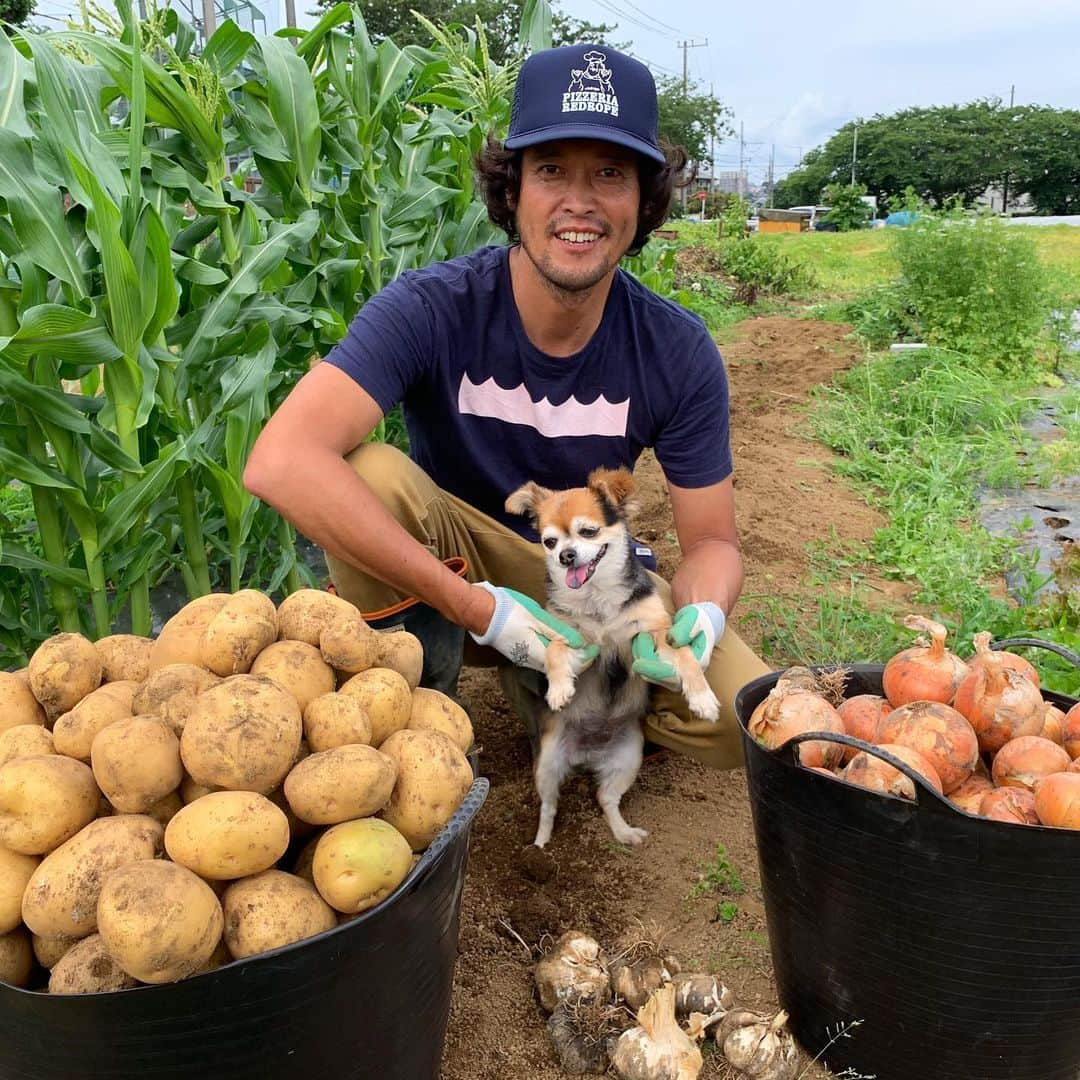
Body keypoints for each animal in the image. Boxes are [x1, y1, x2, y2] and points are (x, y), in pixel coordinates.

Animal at [503, 468, 717, 846]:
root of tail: (586, 755)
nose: (566, 556)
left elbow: (685, 656)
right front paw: (559, 688)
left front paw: (702, 698)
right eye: (549, 542)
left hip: (628, 758)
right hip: (547, 763)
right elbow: (555, 649)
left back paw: (624, 832)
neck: (597, 598)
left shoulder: (652, 633)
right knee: (549, 806)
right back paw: (540, 845)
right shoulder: (570, 635)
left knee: (605, 797)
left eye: (588, 531)